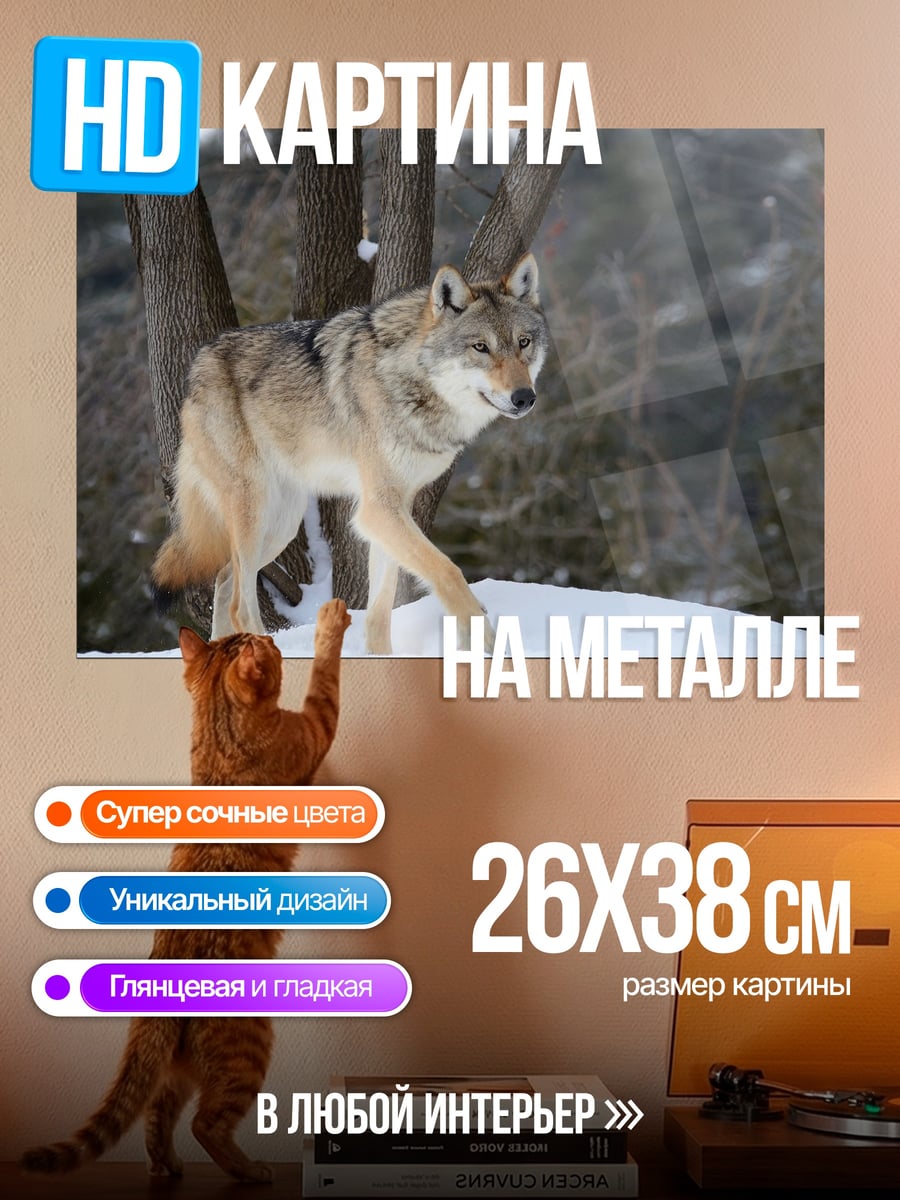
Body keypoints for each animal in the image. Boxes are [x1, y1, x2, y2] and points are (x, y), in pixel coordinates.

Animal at [152, 253, 547, 654]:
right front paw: (491, 647)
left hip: (280, 525)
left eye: (523, 342)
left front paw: (382, 660)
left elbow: (379, 609)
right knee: (240, 605)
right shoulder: (378, 509)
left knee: (223, 577)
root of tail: (197, 369)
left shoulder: (391, 510)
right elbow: (447, 571)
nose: (524, 397)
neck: (412, 381)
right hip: (255, 512)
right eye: (480, 347)